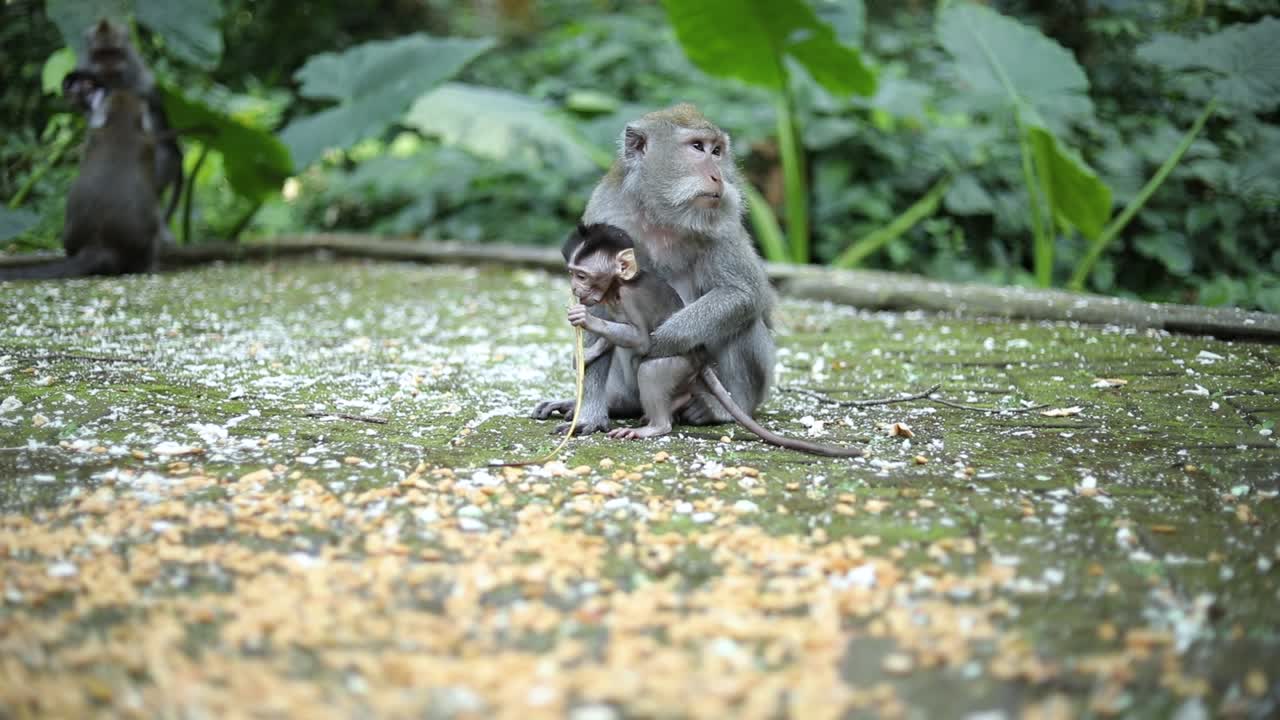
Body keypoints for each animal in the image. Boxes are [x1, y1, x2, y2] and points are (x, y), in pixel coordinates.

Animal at [0, 89, 168, 281]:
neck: (120, 124)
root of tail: (98, 248)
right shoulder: (149, 144)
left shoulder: (92, 137)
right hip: (145, 242)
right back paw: (150, 267)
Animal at [533, 103, 776, 435]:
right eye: (697, 147)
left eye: (717, 151)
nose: (717, 176)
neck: (661, 213)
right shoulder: (605, 211)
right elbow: (596, 310)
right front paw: (590, 413)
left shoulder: (723, 220)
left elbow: (743, 292)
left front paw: (659, 342)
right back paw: (616, 404)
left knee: (743, 321)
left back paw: (720, 408)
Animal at [560, 223, 861, 457]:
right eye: (572, 273)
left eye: (582, 275)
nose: (574, 288)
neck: (618, 286)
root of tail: (699, 358)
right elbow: (614, 338)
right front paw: (588, 354)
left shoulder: (630, 299)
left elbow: (642, 339)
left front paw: (587, 320)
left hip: (681, 364)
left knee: (650, 367)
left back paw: (657, 425)